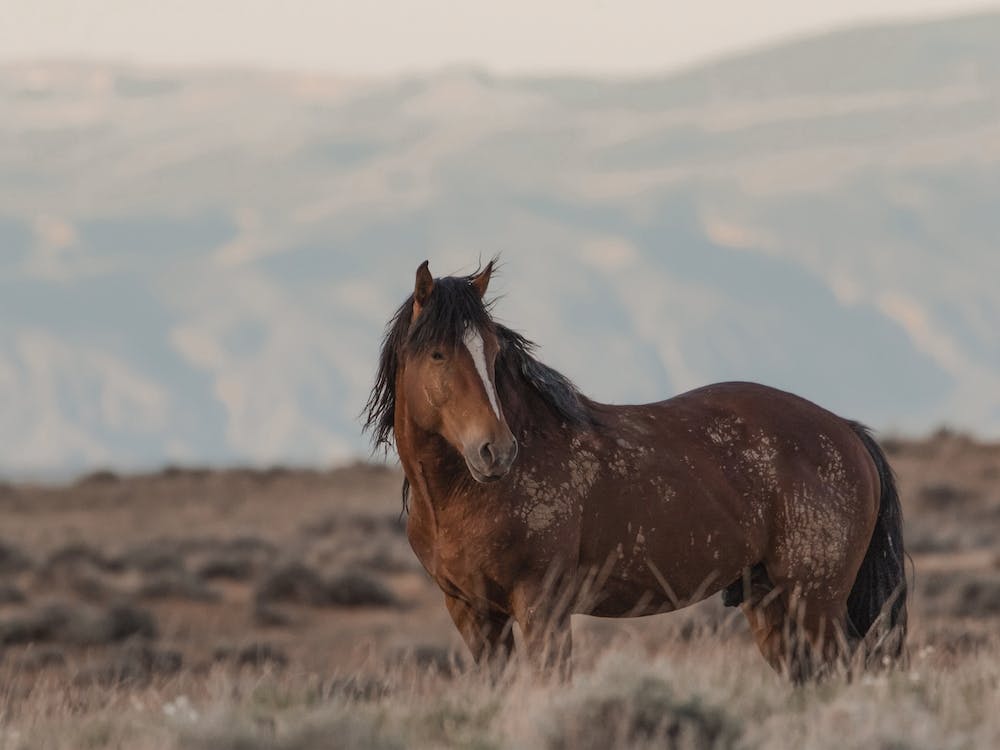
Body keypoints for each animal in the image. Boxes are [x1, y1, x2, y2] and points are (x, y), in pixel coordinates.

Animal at [364, 260, 907, 681]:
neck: (459, 499)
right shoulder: (474, 614)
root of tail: (847, 432)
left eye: (493, 353)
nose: (495, 451)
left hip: (815, 602)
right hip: (774, 604)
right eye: (438, 354)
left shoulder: (542, 606)